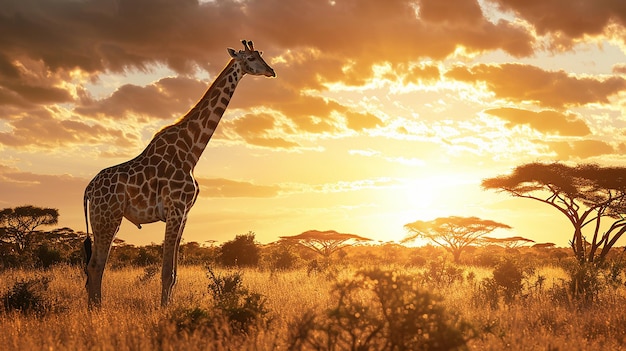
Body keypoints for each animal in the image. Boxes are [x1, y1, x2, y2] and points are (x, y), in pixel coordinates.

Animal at [82, 40, 272, 308]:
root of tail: (88, 189)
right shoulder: (175, 208)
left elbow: (173, 273)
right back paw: (97, 311)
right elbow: (165, 273)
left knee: (92, 266)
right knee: (96, 266)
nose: (271, 71)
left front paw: (168, 307)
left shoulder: (185, 214)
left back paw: (94, 309)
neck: (192, 151)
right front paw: (164, 311)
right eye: (252, 58)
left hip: (106, 219)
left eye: (261, 55)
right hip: (107, 217)